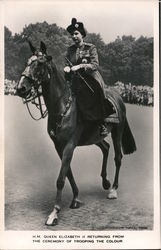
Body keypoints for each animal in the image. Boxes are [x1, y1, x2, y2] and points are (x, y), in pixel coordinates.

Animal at [17, 41, 136, 227]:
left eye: (40, 64)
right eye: (27, 62)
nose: (20, 88)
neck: (62, 106)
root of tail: (118, 95)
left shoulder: (69, 145)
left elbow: (60, 178)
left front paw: (54, 213)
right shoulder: (59, 146)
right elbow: (68, 173)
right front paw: (75, 199)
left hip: (118, 131)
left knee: (118, 157)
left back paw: (113, 189)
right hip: (94, 136)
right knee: (105, 147)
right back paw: (105, 182)